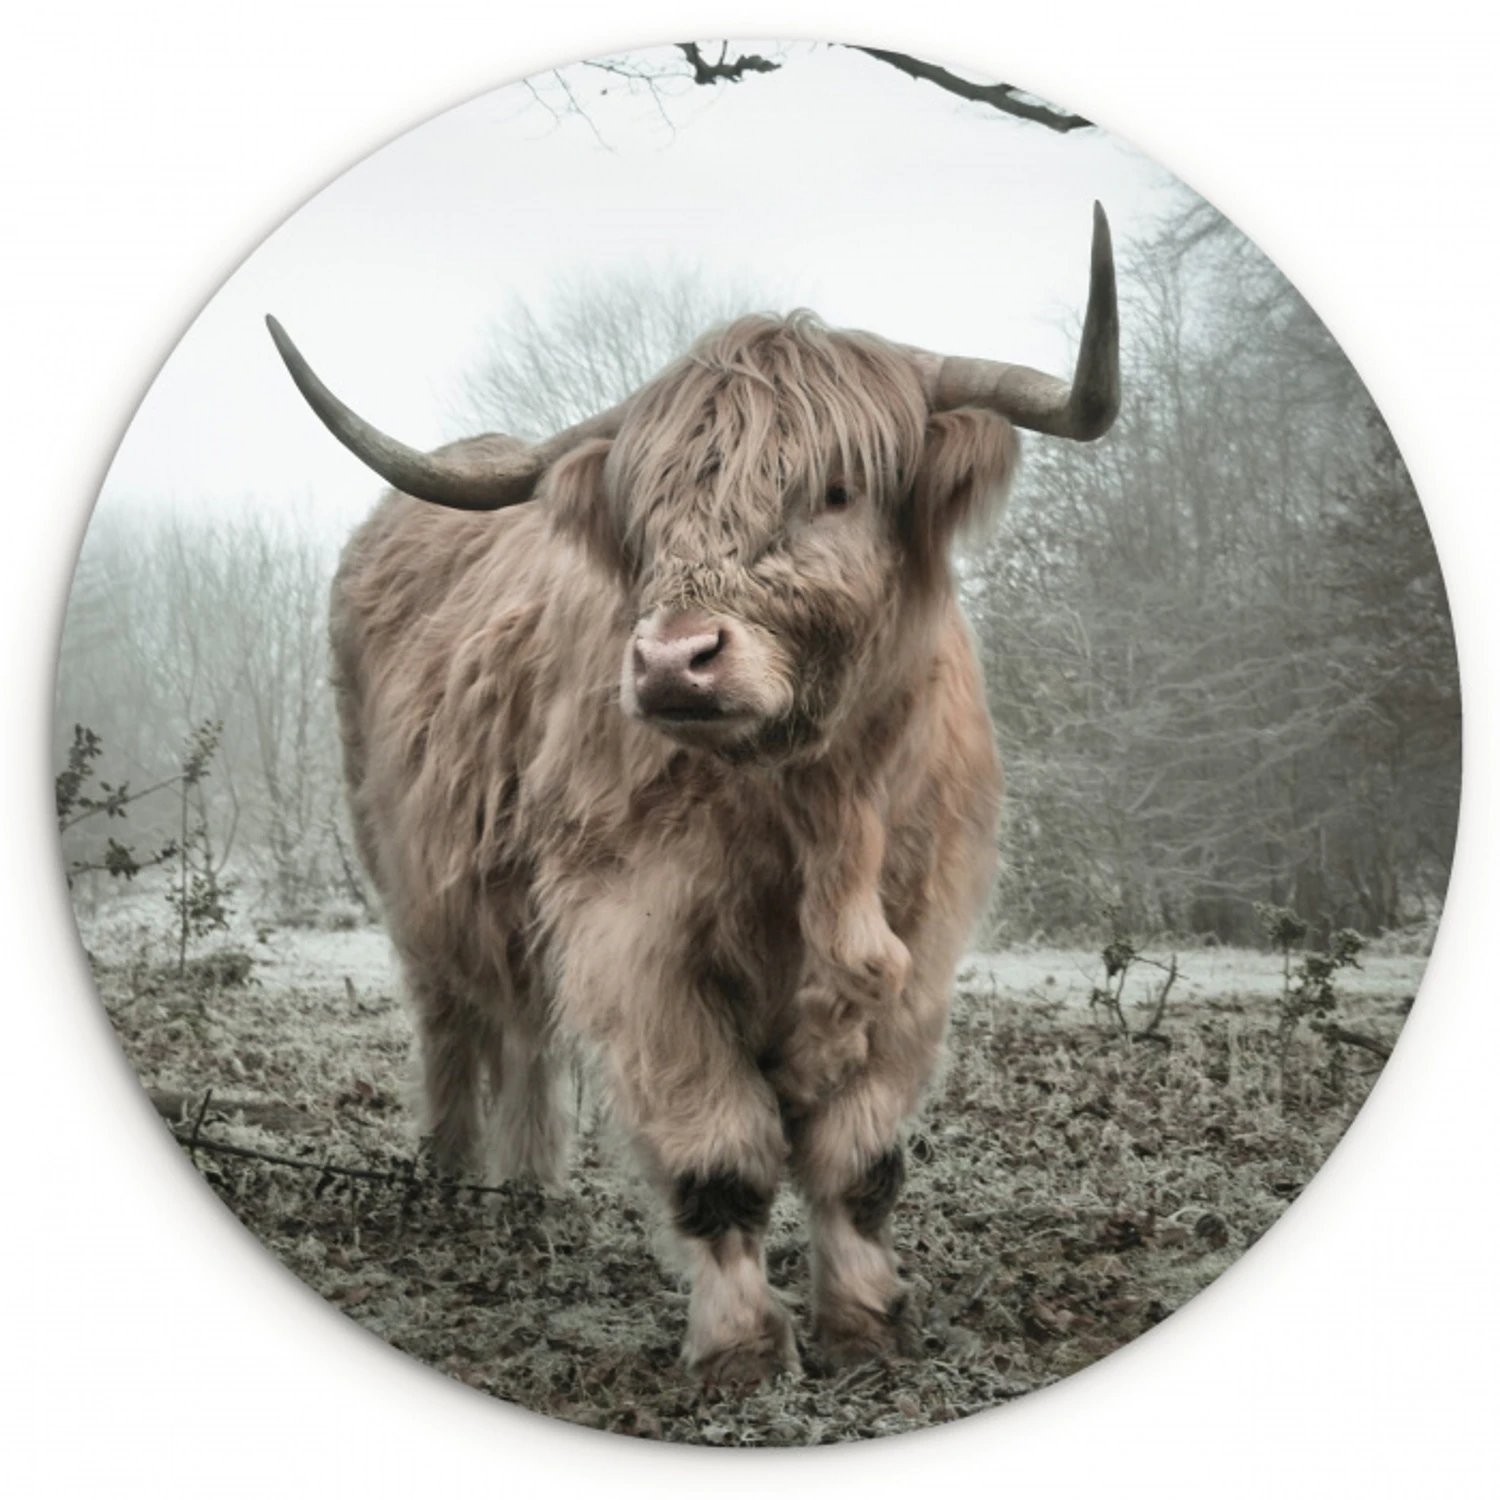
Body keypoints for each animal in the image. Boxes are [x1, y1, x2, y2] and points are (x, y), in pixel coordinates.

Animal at [266, 205, 1118, 1385]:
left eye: (837, 490)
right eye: (649, 513)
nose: (674, 661)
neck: (818, 810)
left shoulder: (921, 941)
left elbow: (861, 1160)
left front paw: (867, 1325)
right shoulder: (636, 938)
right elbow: (721, 1156)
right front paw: (742, 1350)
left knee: (524, 1032)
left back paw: (527, 1194)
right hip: (411, 879)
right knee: (455, 1024)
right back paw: (451, 1186)